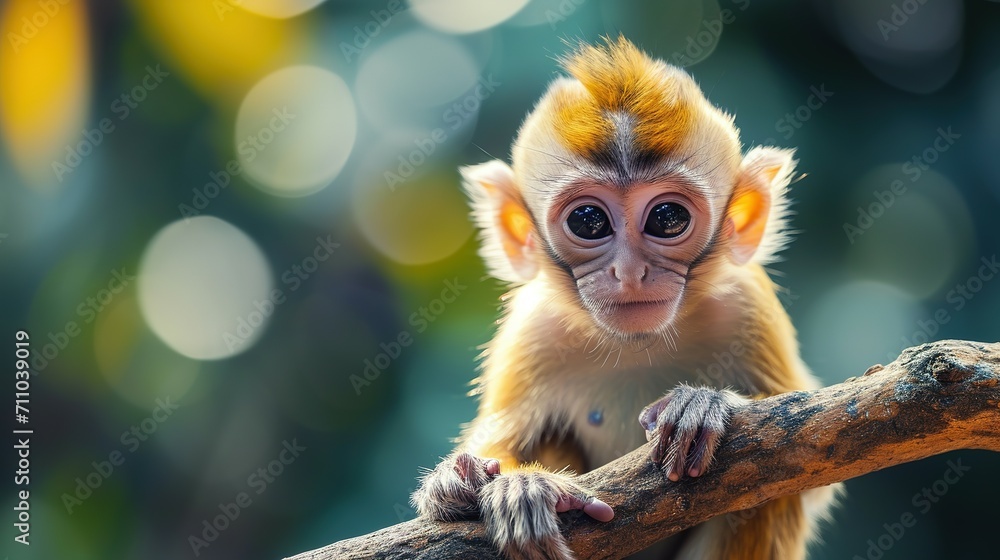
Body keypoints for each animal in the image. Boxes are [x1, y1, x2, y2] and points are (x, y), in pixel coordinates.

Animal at [411, 37, 839, 560]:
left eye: (668, 217)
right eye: (589, 221)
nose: (630, 273)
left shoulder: (747, 309)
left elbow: (808, 466)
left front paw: (702, 404)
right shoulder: (532, 333)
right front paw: (483, 484)